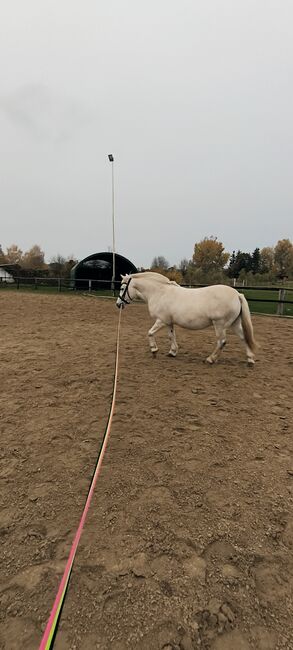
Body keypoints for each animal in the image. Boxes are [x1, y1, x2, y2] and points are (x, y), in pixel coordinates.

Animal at [115, 270, 256, 364]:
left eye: (122, 288)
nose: (118, 304)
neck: (159, 293)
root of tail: (237, 294)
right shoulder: (169, 322)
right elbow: (171, 336)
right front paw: (172, 352)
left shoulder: (161, 320)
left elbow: (150, 333)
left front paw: (154, 350)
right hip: (234, 323)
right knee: (244, 337)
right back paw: (250, 359)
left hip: (220, 324)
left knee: (222, 342)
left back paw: (211, 359)